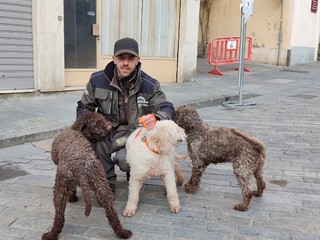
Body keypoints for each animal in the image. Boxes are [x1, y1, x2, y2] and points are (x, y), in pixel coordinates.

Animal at [42, 111, 132, 239]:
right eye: (97, 122)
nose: (110, 127)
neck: (76, 130)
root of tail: (79, 166)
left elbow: (72, 190)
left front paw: (72, 198)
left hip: (60, 186)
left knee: (59, 215)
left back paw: (51, 234)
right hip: (101, 183)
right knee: (111, 212)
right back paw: (122, 232)